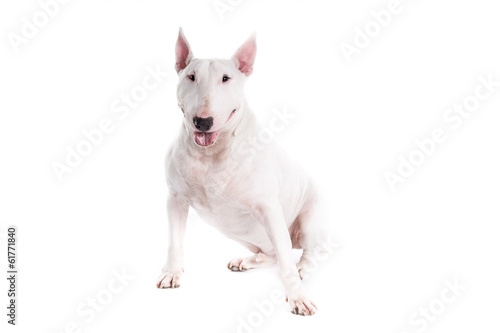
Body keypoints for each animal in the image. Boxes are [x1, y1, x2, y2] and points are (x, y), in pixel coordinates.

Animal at [155, 27, 332, 314]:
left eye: (226, 79)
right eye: (191, 76)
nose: (203, 122)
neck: (211, 154)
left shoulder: (268, 207)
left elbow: (287, 262)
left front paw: (297, 297)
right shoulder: (175, 199)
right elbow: (174, 241)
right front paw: (172, 273)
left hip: (310, 219)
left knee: (304, 252)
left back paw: (302, 267)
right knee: (272, 254)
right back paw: (246, 261)